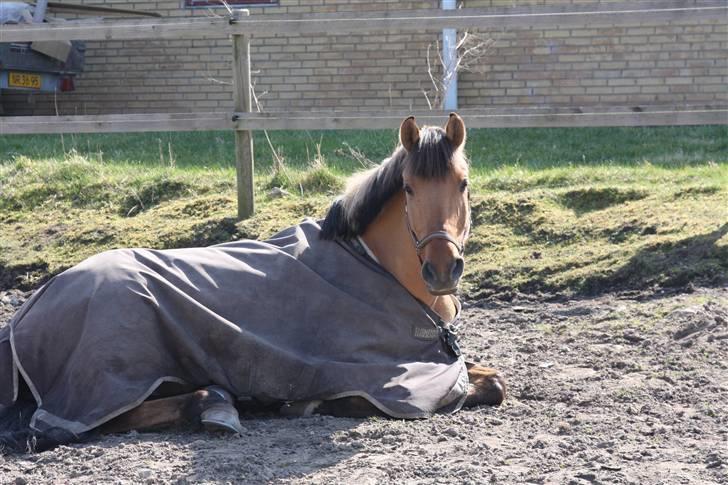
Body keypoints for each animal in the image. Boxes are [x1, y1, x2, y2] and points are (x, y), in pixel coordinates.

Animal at [0, 114, 506, 454]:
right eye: (408, 187)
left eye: (463, 184)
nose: (442, 269)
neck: (374, 263)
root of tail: (31, 308)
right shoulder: (399, 378)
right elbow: (481, 387)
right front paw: (313, 405)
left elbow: (494, 378)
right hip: (113, 377)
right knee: (97, 420)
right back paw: (216, 407)